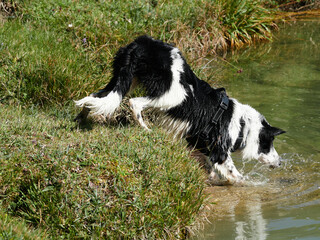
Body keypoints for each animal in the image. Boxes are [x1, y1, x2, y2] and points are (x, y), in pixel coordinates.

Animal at [75, 35, 284, 182]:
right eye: (269, 144)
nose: (281, 162)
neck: (243, 125)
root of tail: (140, 44)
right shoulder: (220, 151)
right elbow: (237, 176)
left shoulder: (198, 142)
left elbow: (210, 168)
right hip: (173, 94)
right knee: (134, 102)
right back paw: (146, 130)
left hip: (124, 79)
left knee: (94, 97)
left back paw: (81, 118)